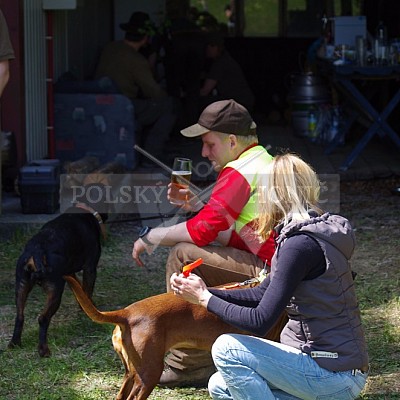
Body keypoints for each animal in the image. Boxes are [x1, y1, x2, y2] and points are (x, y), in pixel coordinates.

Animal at [8, 183, 108, 358]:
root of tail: (37, 249)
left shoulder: (70, 273)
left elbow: (80, 291)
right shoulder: (90, 268)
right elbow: (87, 290)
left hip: (21, 285)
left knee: (20, 315)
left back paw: (15, 343)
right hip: (54, 290)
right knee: (43, 318)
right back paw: (43, 350)